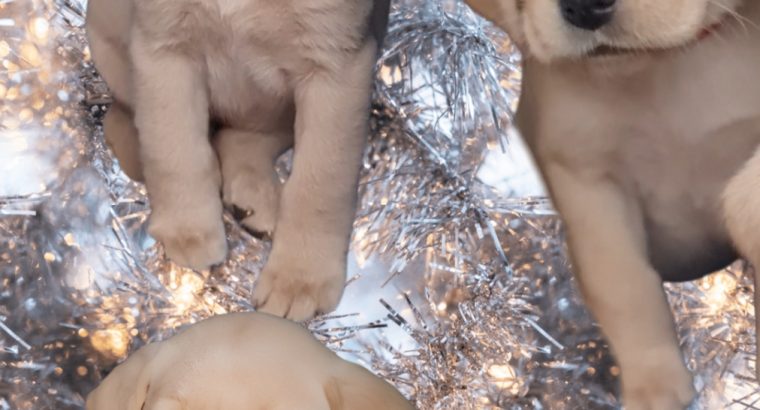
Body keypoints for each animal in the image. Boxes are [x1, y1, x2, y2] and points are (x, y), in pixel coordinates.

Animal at [86, 0, 388, 320]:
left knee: (242, 139)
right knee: (123, 112)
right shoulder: (164, 47)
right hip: (105, 33)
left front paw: (300, 277)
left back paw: (253, 197)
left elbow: (321, 186)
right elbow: (174, 150)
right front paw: (188, 230)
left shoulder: (336, 69)